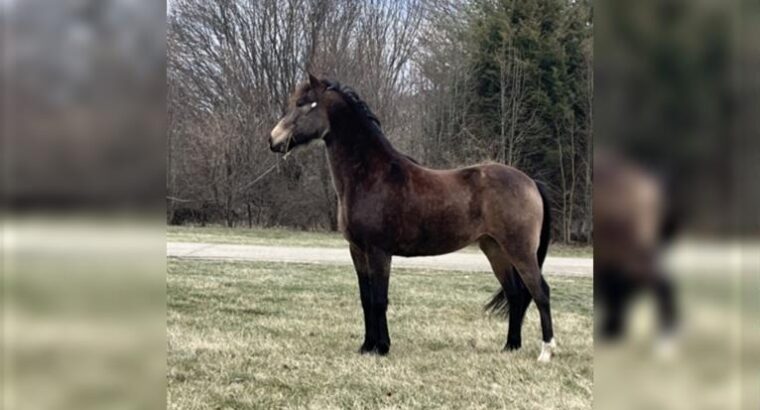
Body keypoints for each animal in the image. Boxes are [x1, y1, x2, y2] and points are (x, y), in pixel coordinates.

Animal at [270, 73, 556, 362]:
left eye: (305, 104)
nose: (274, 140)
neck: (371, 176)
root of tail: (531, 182)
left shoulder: (379, 251)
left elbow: (379, 299)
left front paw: (382, 347)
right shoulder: (357, 250)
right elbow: (366, 299)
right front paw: (366, 346)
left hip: (520, 250)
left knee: (540, 292)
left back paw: (546, 351)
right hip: (495, 249)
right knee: (515, 294)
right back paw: (510, 346)